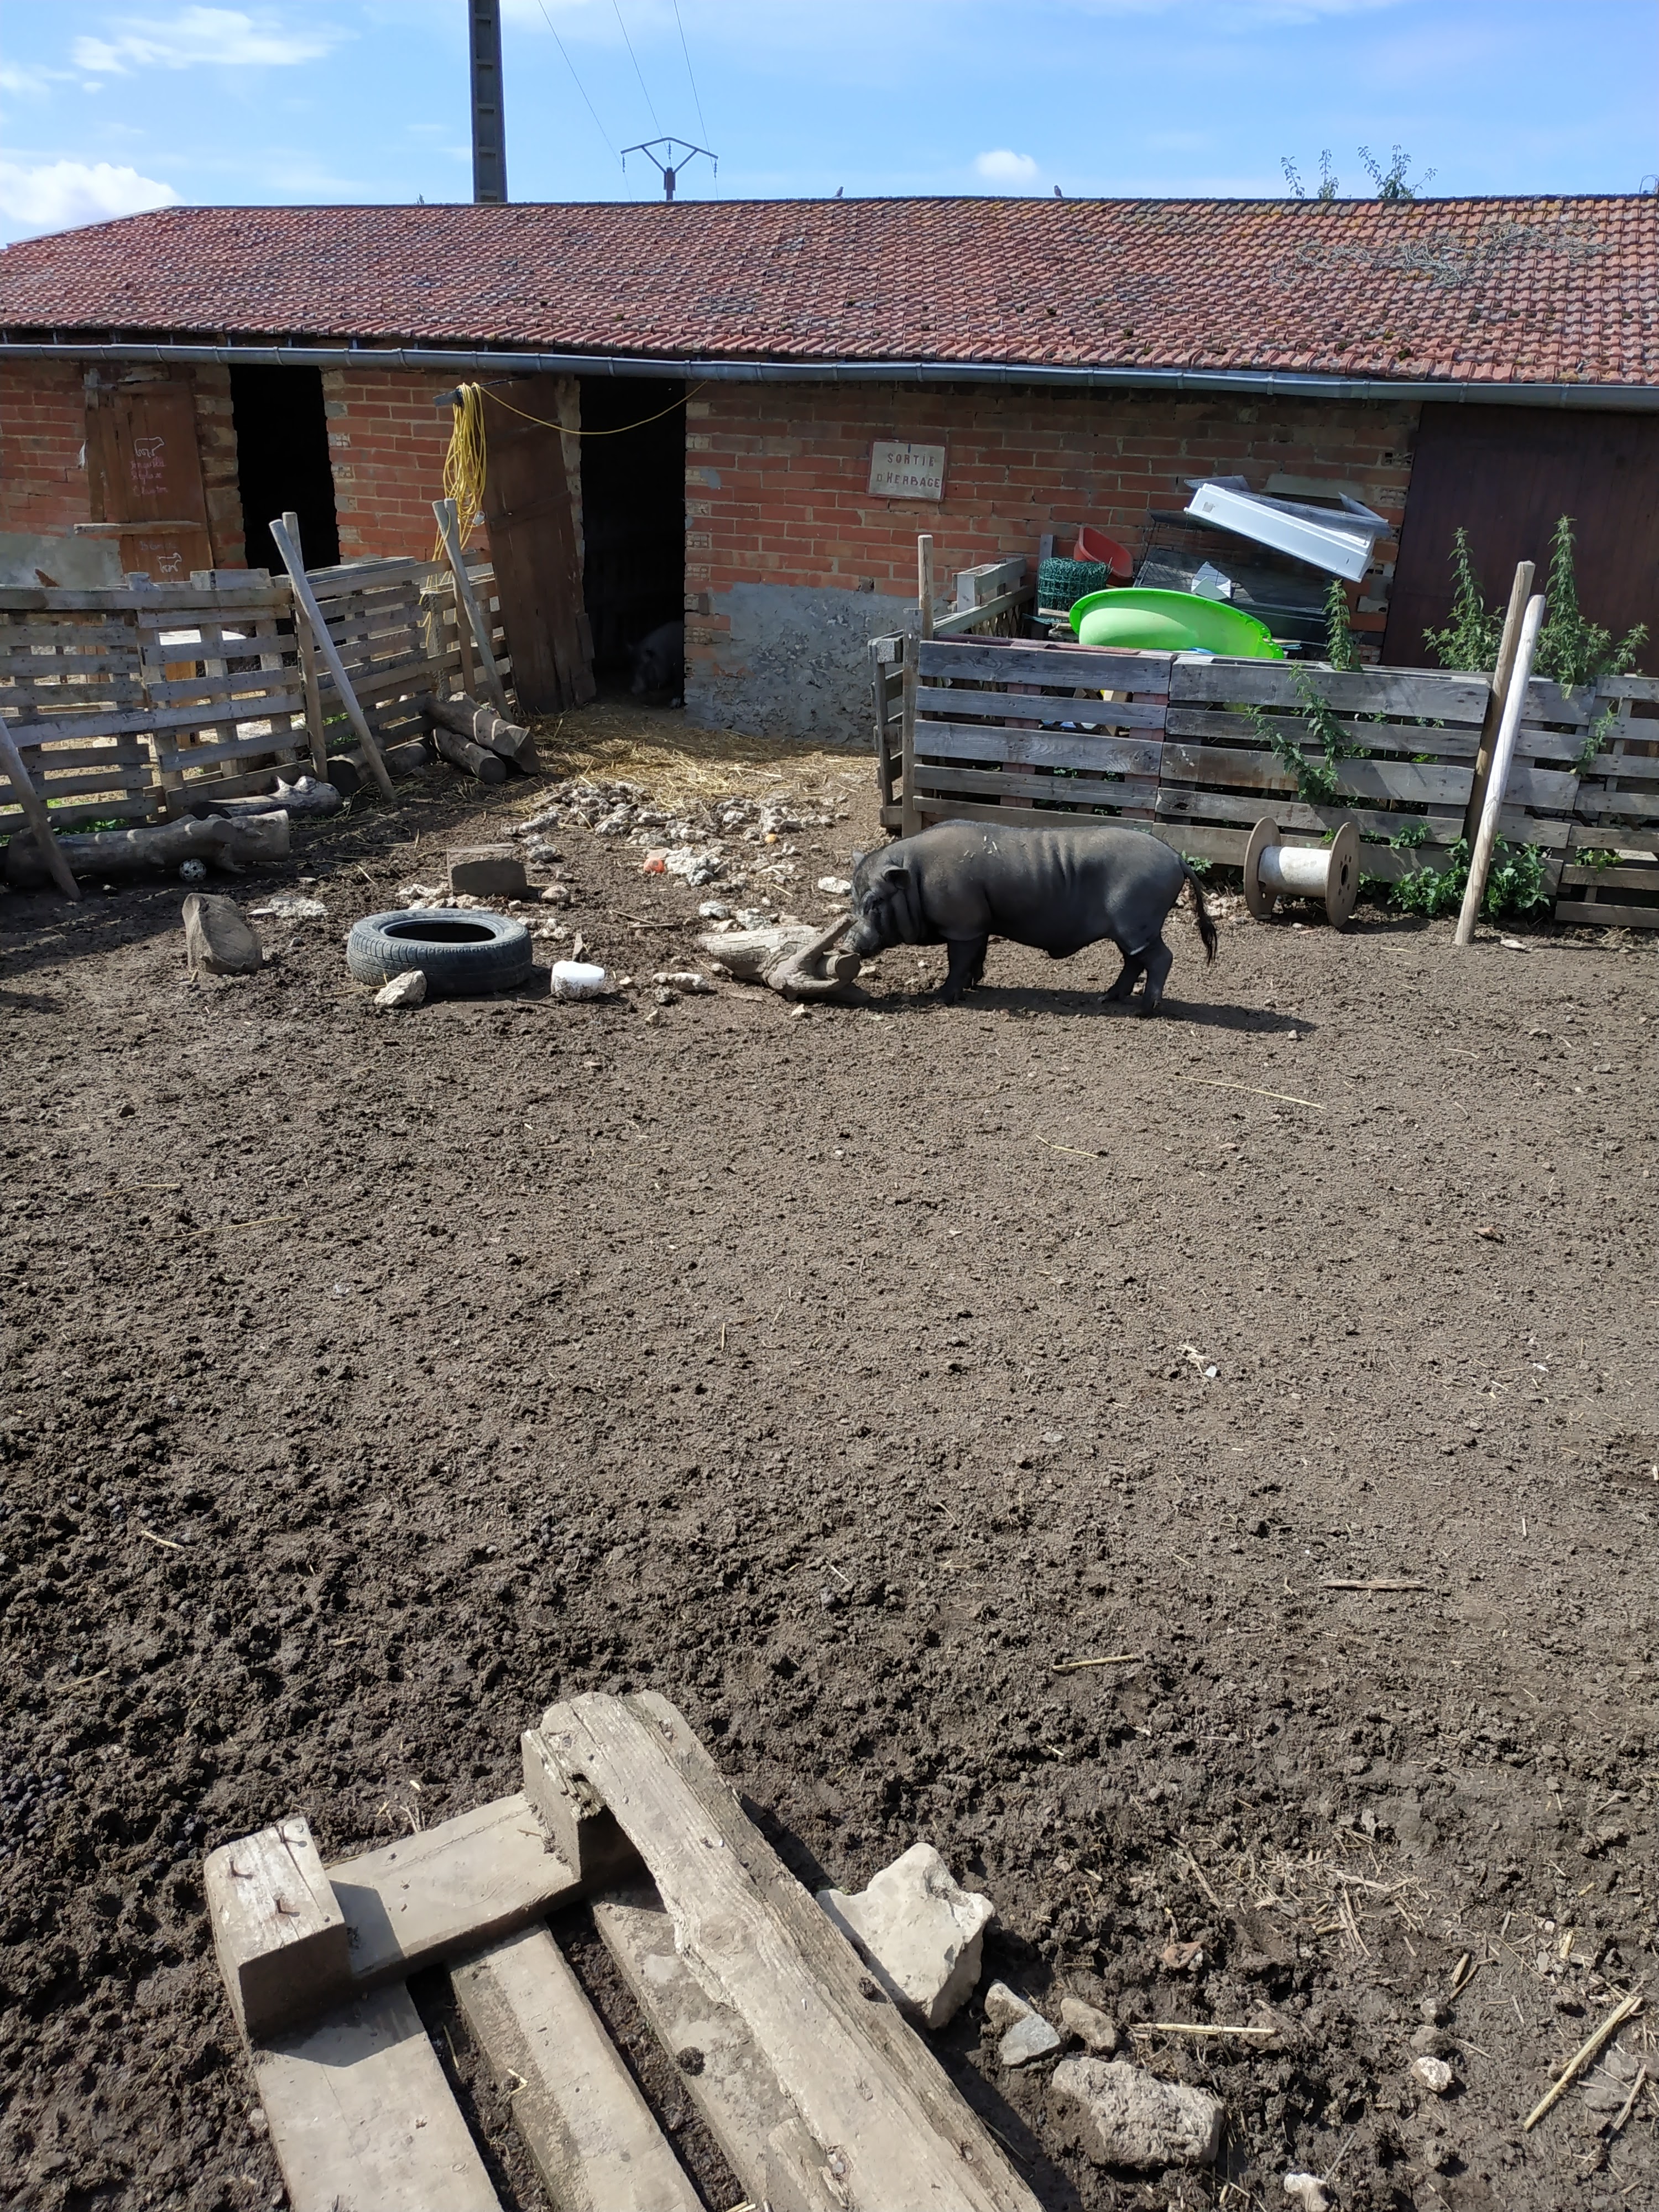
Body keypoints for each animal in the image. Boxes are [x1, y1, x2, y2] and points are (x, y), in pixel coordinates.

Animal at [629, 620, 684, 704]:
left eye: (643, 666)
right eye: (633, 667)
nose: (633, 690)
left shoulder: (679, 670)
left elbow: (678, 685)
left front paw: (673, 704)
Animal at [847, 819, 1216, 1012]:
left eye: (876, 902)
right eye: (853, 899)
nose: (850, 942)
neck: (916, 879)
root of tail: (1176, 858)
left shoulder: (963, 924)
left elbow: (958, 960)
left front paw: (945, 996)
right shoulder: (979, 924)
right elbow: (977, 956)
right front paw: (974, 985)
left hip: (1136, 922)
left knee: (1161, 958)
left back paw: (1145, 1010)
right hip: (1131, 929)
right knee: (1134, 961)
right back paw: (1106, 997)